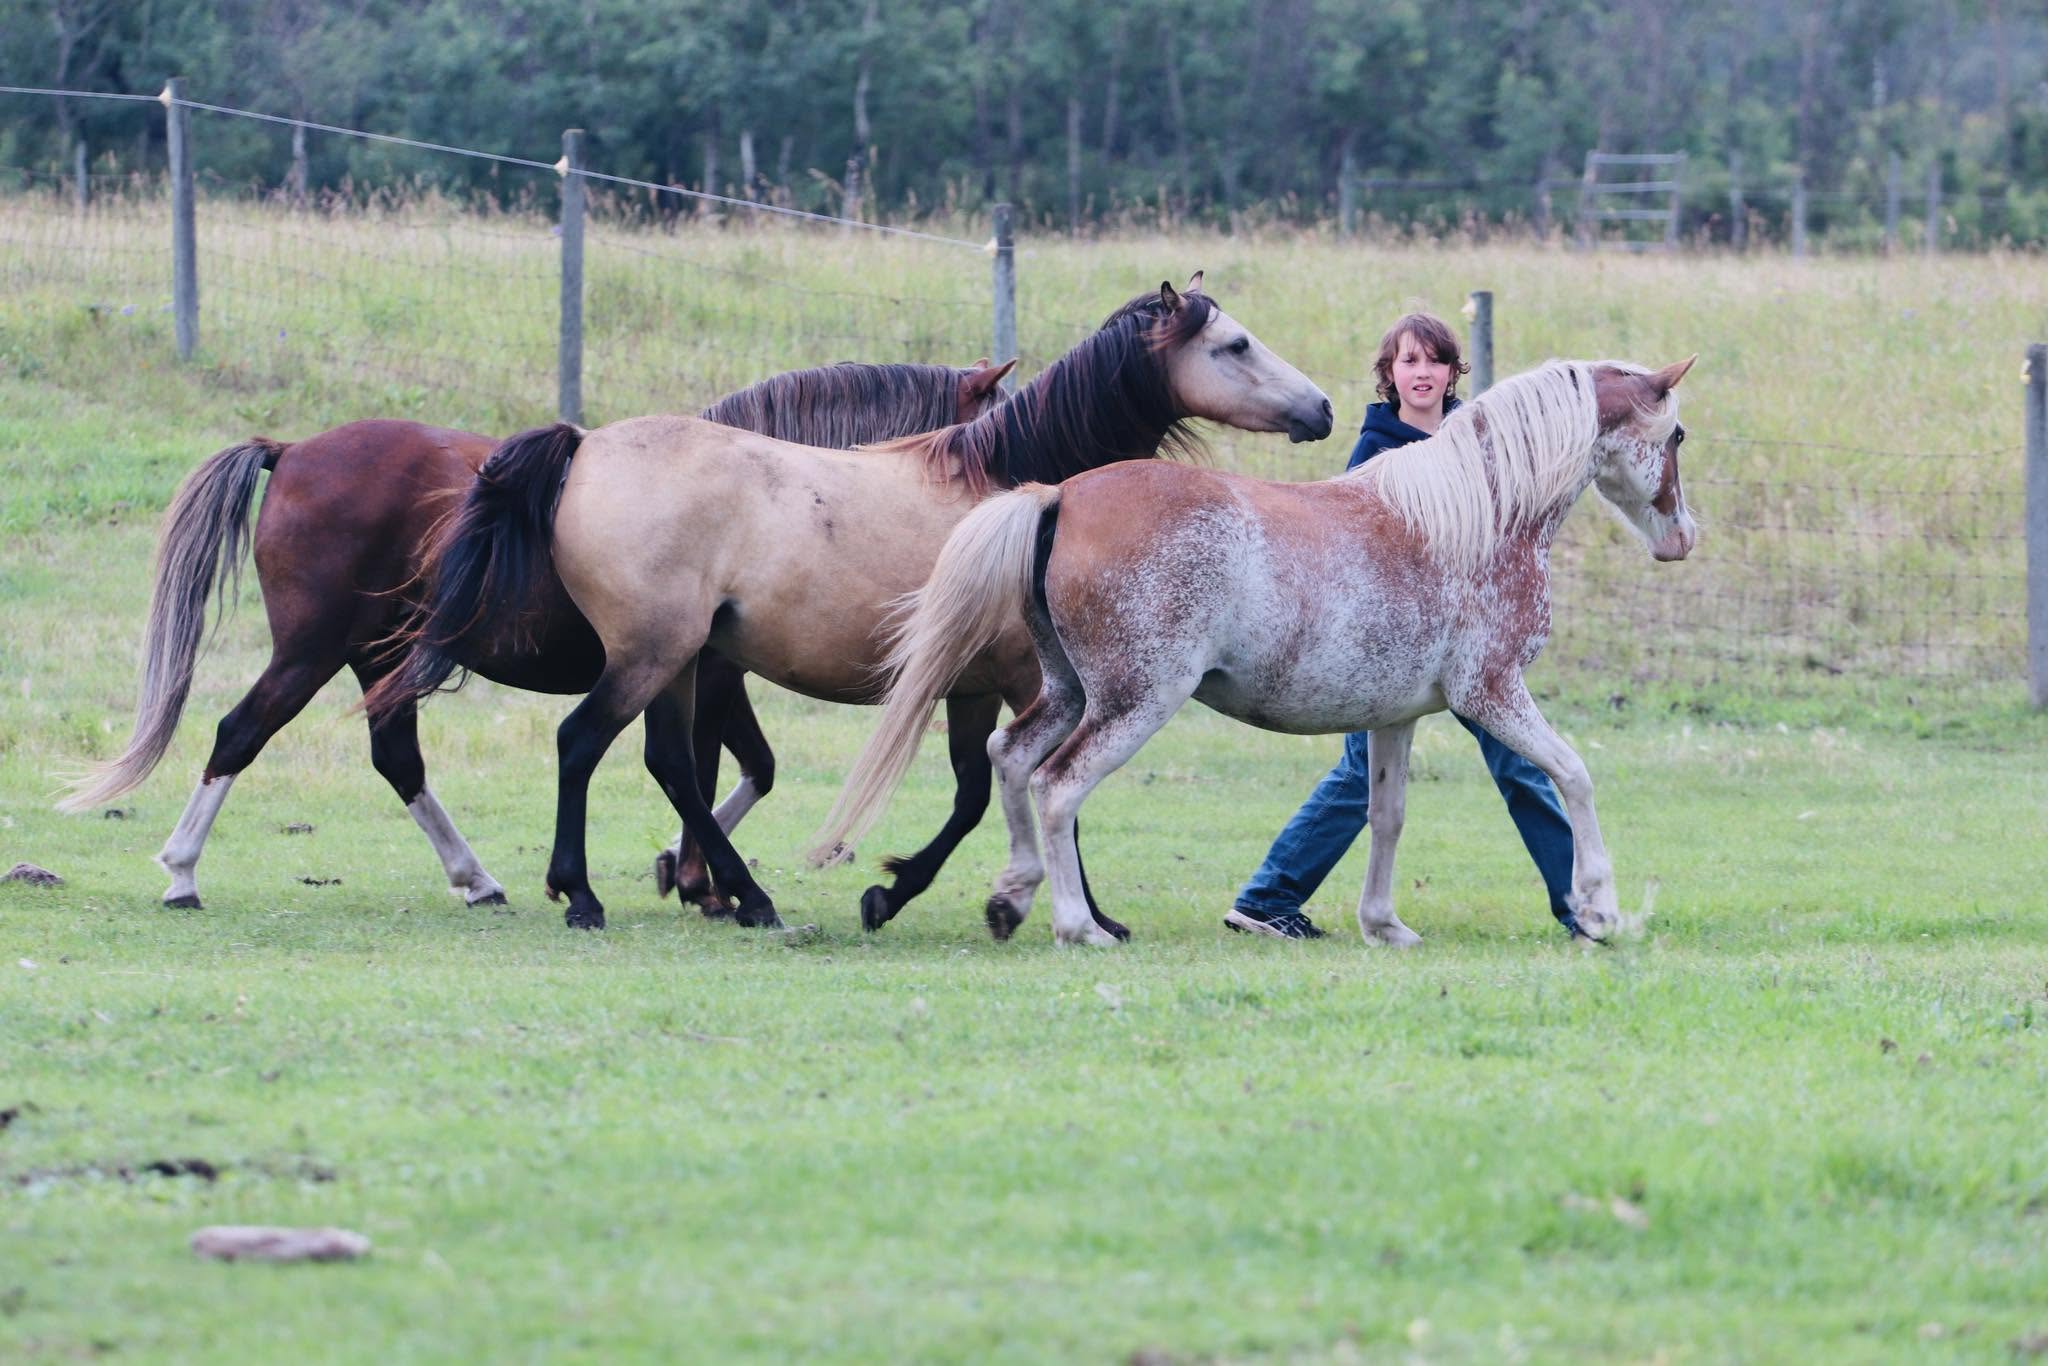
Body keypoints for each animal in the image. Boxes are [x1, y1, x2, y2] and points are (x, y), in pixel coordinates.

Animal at [58, 359, 1016, 911]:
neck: (764, 483)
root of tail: (291, 451)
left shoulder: (693, 666)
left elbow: (727, 770)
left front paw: (689, 872)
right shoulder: (701, 667)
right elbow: (716, 768)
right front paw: (704, 879)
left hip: (379, 660)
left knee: (395, 758)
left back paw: (477, 878)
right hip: (310, 651)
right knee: (239, 733)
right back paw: (182, 870)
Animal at [367, 278, 1335, 932]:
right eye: (1236, 345)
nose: (1322, 407)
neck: (1014, 487)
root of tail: (583, 447)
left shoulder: (977, 686)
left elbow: (989, 787)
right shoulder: (1021, 683)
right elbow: (1021, 788)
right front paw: (949, 896)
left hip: (676, 664)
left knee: (669, 764)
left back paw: (744, 897)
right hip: (651, 655)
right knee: (581, 744)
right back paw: (588, 895)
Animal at [818, 357, 1697, 946]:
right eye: (1679, 433)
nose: (1683, 538)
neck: (1474, 516)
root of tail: (1060, 496)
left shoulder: (1397, 717)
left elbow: (1385, 814)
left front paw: (1385, 925)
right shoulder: (1493, 695)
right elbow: (1574, 777)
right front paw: (1599, 909)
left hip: (1069, 691)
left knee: (1009, 759)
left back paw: (1012, 898)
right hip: (1136, 701)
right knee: (1059, 786)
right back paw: (1079, 926)